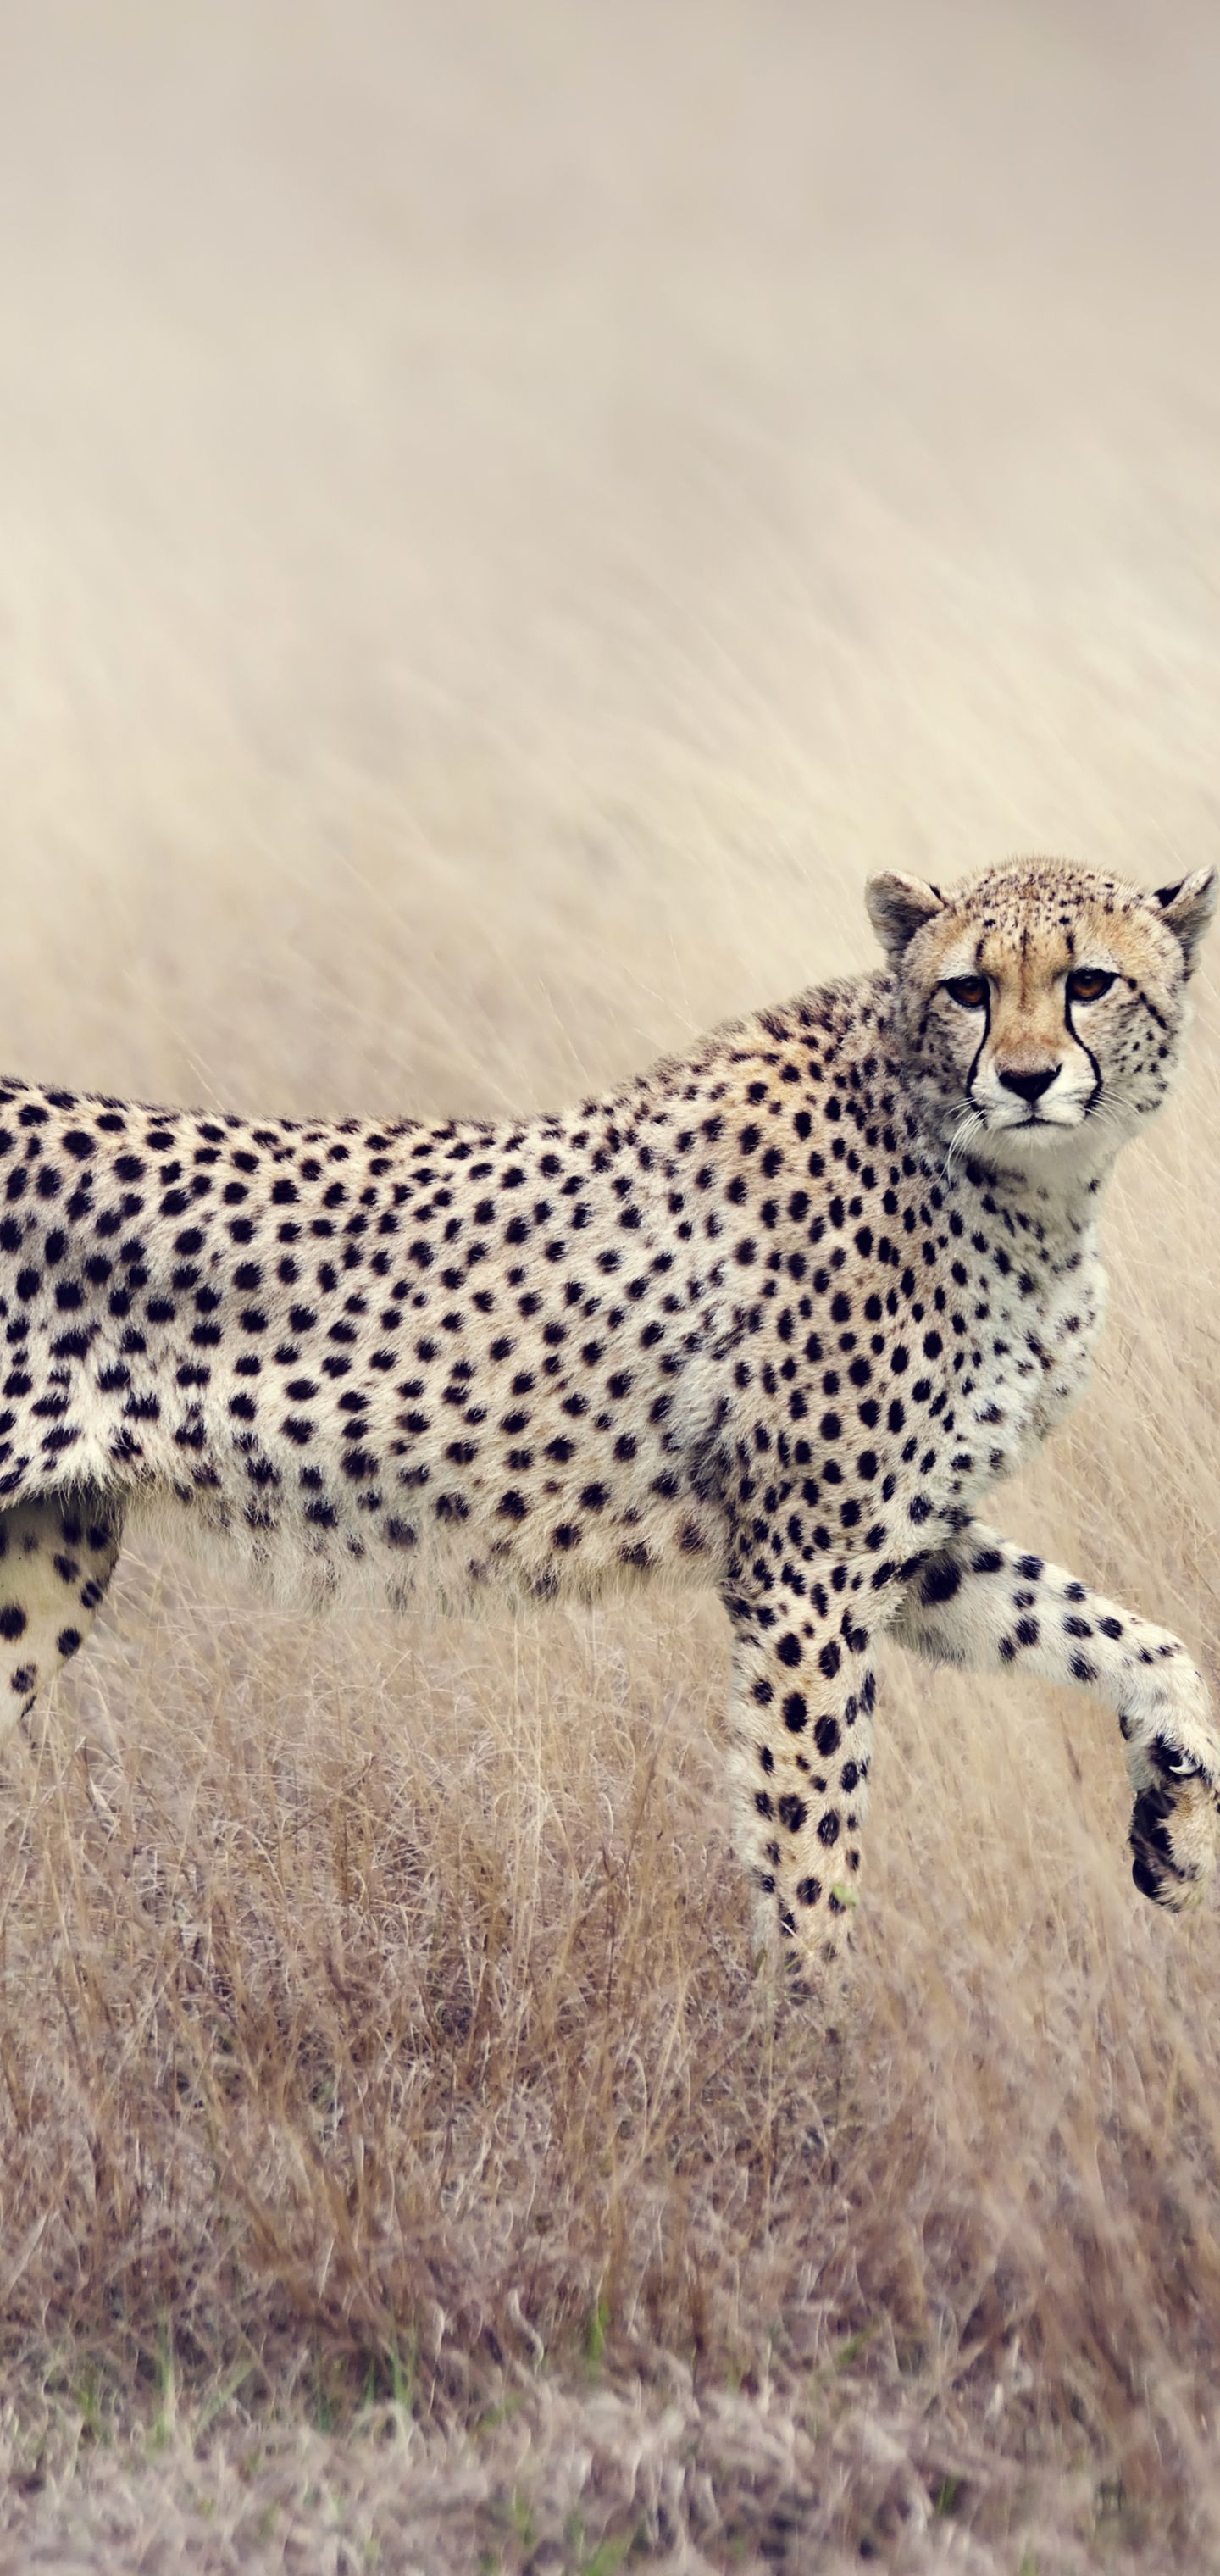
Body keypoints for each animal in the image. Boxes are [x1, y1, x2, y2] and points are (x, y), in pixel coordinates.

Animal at [0, 852, 1216, 2008]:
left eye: (1089, 983)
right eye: (969, 988)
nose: (1026, 1078)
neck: (1019, 1187)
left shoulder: (902, 1544)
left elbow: (1137, 1641)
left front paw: (1179, 1809)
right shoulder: (808, 1570)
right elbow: (814, 1846)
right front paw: (813, 2048)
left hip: (47, 1560)